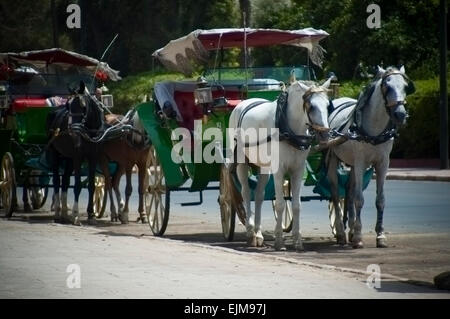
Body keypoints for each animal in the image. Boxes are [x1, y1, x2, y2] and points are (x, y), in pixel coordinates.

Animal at [229, 78, 334, 252]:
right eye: (311, 106)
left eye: (328, 105)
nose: (325, 134)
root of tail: (243, 103)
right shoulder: (279, 170)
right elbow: (279, 204)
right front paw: (279, 241)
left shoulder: (298, 170)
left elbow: (296, 205)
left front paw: (298, 241)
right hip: (241, 162)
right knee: (246, 193)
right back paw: (251, 233)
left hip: (264, 166)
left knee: (259, 195)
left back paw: (258, 234)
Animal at [324, 66, 414, 249]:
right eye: (387, 86)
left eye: (405, 86)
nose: (400, 115)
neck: (374, 130)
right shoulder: (360, 162)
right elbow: (359, 199)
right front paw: (358, 236)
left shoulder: (383, 163)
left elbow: (380, 199)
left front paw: (380, 235)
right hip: (333, 159)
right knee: (336, 194)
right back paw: (341, 232)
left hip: (352, 164)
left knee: (349, 192)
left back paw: (350, 229)